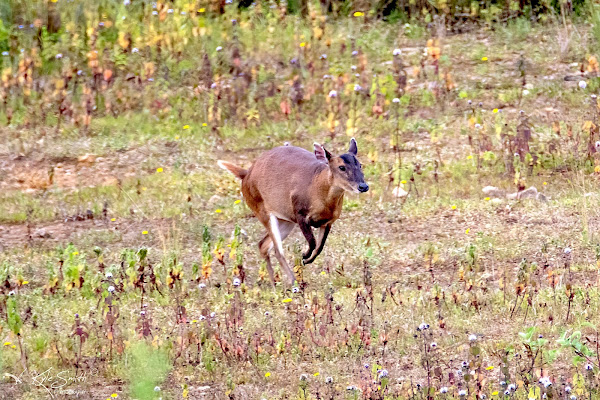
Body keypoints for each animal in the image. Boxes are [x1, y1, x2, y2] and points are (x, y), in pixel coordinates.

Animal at [218, 139, 368, 286]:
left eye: (360, 165)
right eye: (341, 167)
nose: (363, 186)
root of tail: (245, 174)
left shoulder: (329, 221)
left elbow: (319, 247)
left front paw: (306, 260)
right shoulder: (299, 213)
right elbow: (312, 242)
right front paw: (304, 256)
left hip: (285, 220)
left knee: (263, 245)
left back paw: (275, 283)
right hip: (261, 209)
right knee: (277, 250)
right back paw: (292, 281)